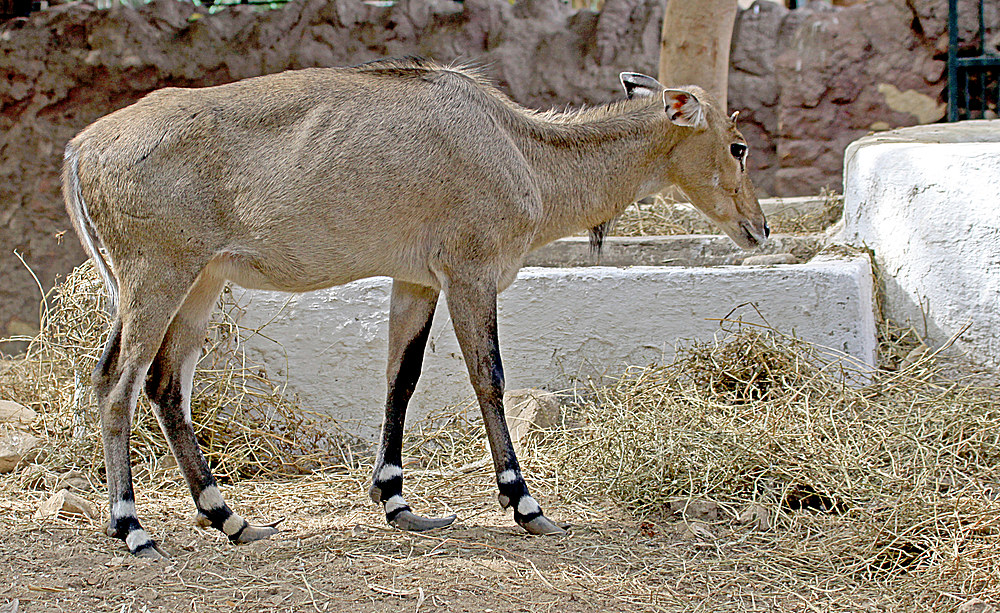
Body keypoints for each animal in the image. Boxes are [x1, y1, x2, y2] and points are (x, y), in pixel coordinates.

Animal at [64, 57, 764, 560]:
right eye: (737, 145)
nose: (758, 228)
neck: (522, 149)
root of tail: (81, 149)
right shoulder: (471, 274)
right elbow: (490, 378)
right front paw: (527, 506)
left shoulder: (417, 282)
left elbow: (401, 377)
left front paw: (398, 502)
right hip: (156, 277)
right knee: (116, 382)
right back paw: (132, 528)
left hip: (201, 284)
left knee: (165, 384)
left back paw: (232, 519)